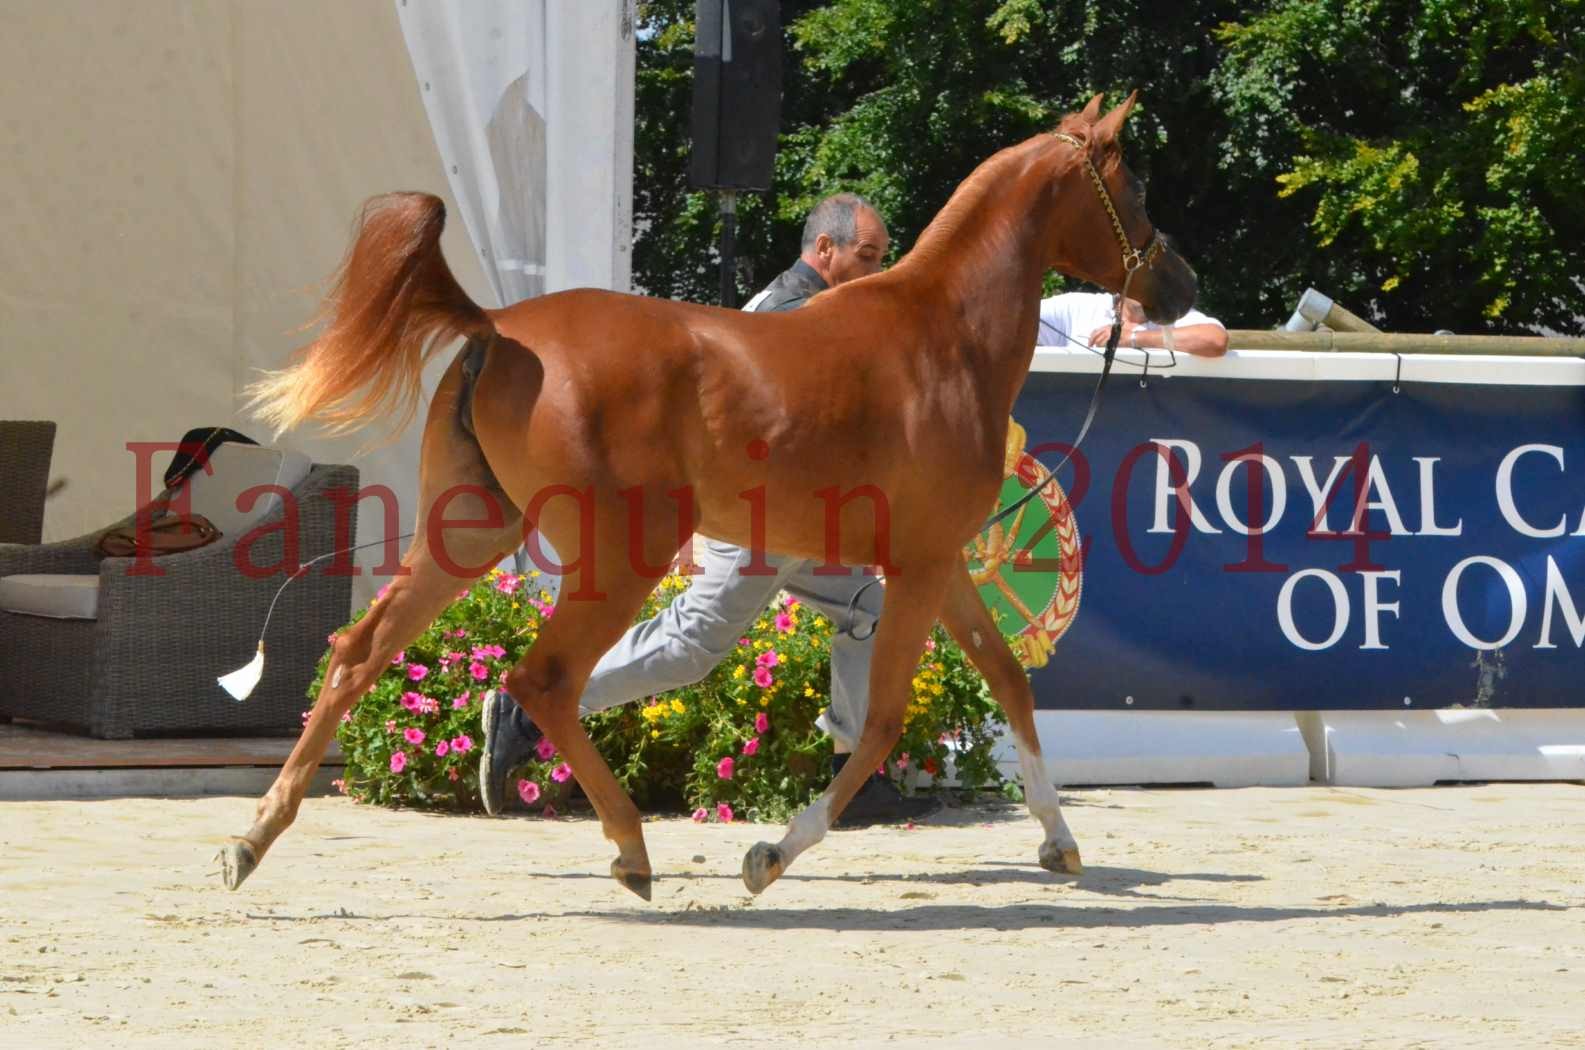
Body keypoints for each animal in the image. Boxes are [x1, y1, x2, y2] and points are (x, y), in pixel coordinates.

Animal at [220, 94, 1191, 907]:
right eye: (1133, 182)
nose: (1178, 284)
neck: (942, 339)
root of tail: (496, 329)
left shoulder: (939, 557)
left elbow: (1008, 679)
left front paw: (1060, 842)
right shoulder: (918, 565)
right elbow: (883, 720)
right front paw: (769, 855)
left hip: (471, 530)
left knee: (361, 651)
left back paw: (252, 839)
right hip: (621, 553)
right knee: (542, 680)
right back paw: (629, 849)